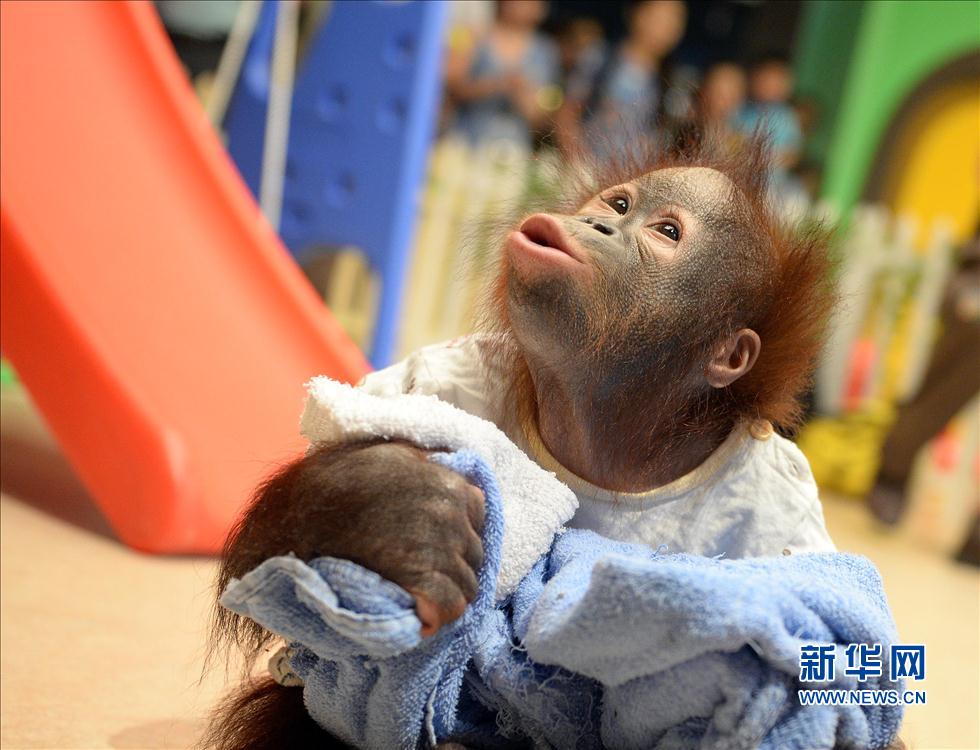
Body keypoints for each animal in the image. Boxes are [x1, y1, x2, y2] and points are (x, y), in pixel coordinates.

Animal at [203, 127, 848, 750]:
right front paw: (389, 511)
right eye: (619, 204)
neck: (610, 430)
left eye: (666, 232)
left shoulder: (785, 497)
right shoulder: (432, 374)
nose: (598, 224)